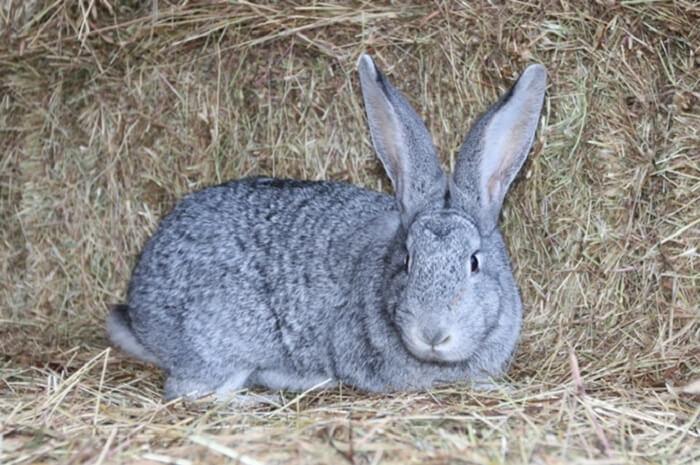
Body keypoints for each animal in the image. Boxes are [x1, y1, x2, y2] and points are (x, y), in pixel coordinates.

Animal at [108, 53, 548, 398]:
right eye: (406, 261)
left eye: (474, 263)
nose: (433, 333)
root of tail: (140, 308)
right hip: (221, 342)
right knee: (190, 391)